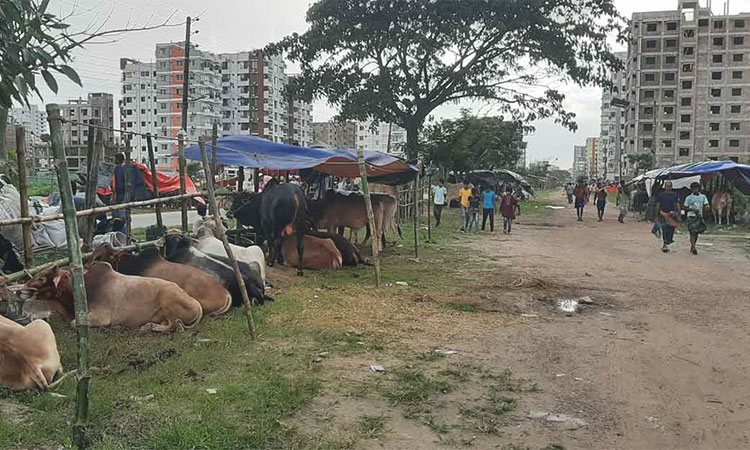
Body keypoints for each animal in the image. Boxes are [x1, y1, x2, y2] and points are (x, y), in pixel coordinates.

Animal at [26, 262, 204, 332]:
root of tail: (196, 303)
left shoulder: (98, 317)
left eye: (42, 278)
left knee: (176, 326)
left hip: (168, 301)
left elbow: (73, 323)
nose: (25, 286)